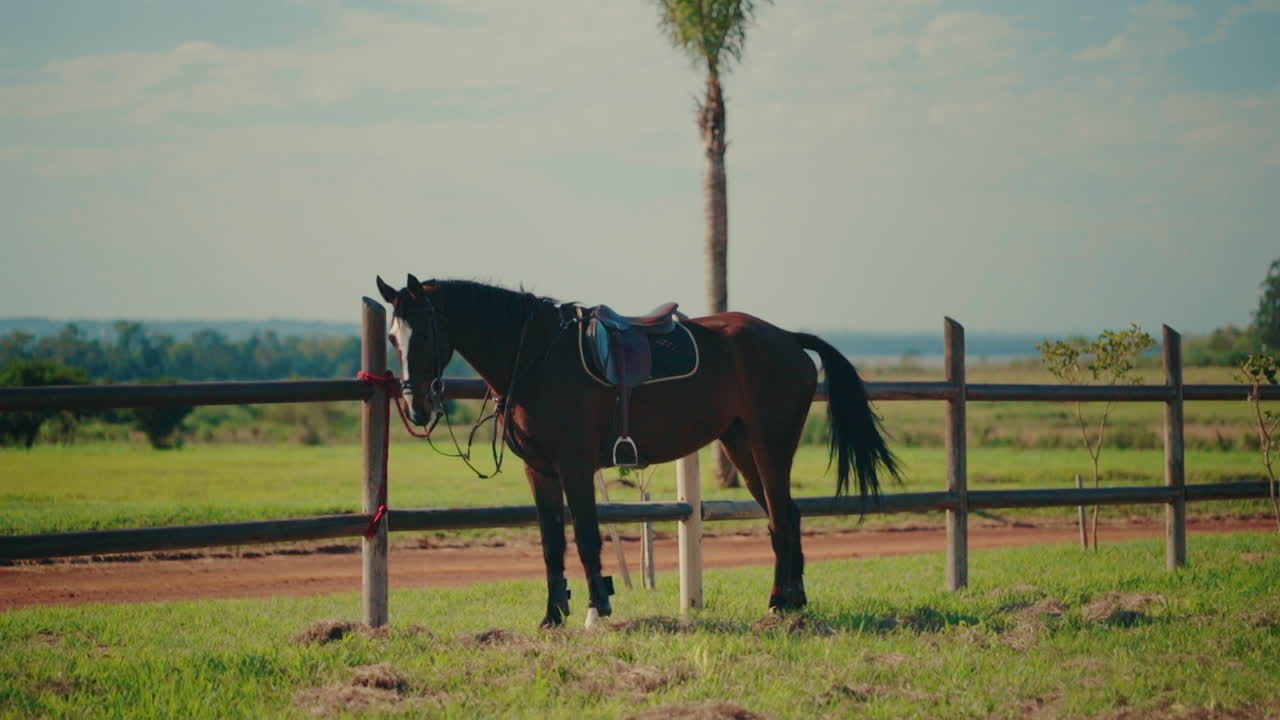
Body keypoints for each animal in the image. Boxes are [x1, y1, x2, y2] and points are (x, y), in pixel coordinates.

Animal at [376, 275, 899, 628]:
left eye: (425, 333)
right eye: (392, 337)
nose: (418, 408)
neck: (538, 357)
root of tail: (789, 339)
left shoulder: (574, 466)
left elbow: (587, 538)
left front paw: (597, 610)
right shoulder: (540, 471)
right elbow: (551, 544)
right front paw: (553, 616)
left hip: (770, 447)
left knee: (781, 520)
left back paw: (777, 603)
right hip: (742, 447)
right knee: (785, 514)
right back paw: (793, 601)